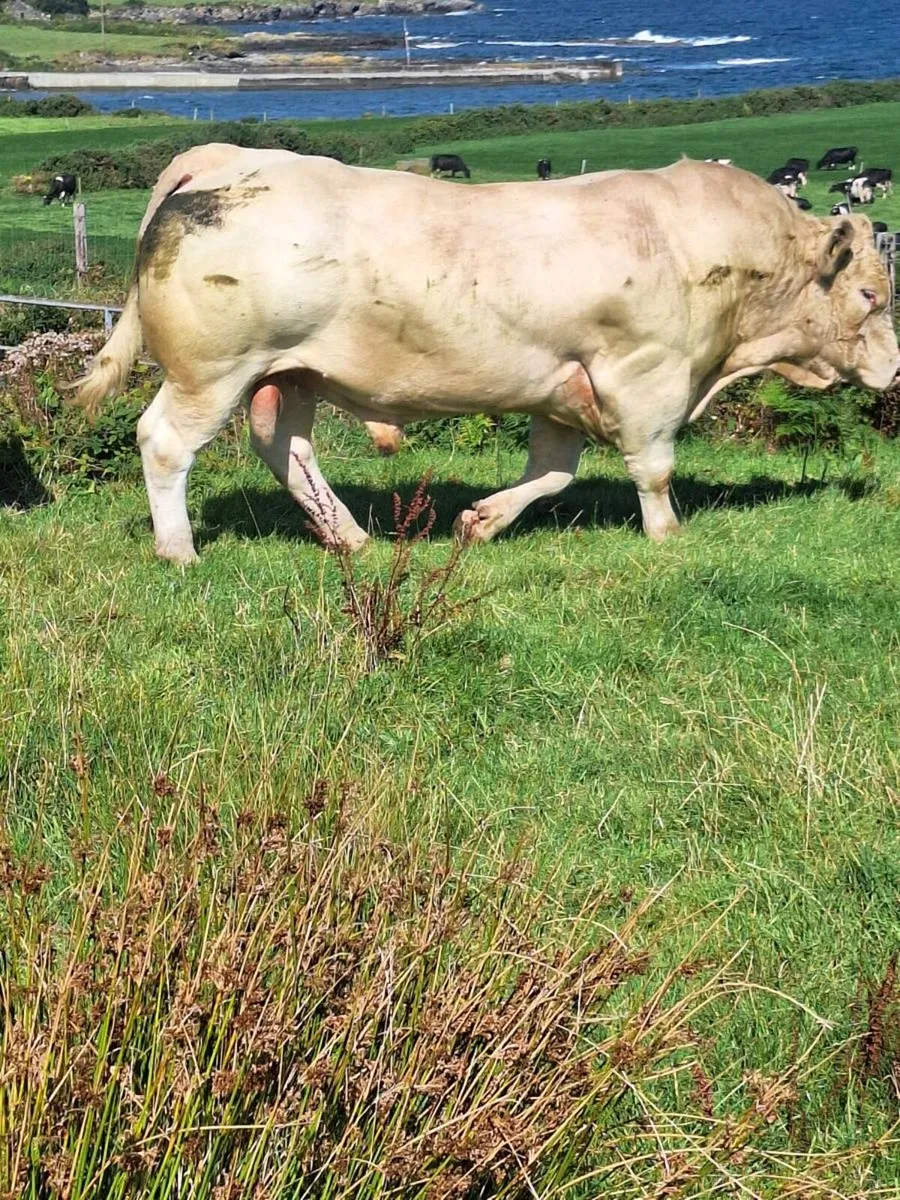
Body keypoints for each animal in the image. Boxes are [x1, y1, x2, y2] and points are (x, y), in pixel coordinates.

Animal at [75, 156, 899, 566]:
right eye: (869, 293)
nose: (895, 371)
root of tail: (221, 157)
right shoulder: (647, 374)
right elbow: (654, 469)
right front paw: (667, 537)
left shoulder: (564, 385)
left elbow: (554, 473)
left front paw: (482, 522)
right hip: (212, 372)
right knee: (164, 444)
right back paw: (179, 551)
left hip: (291, 372)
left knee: (285, 445)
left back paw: (348, 536)